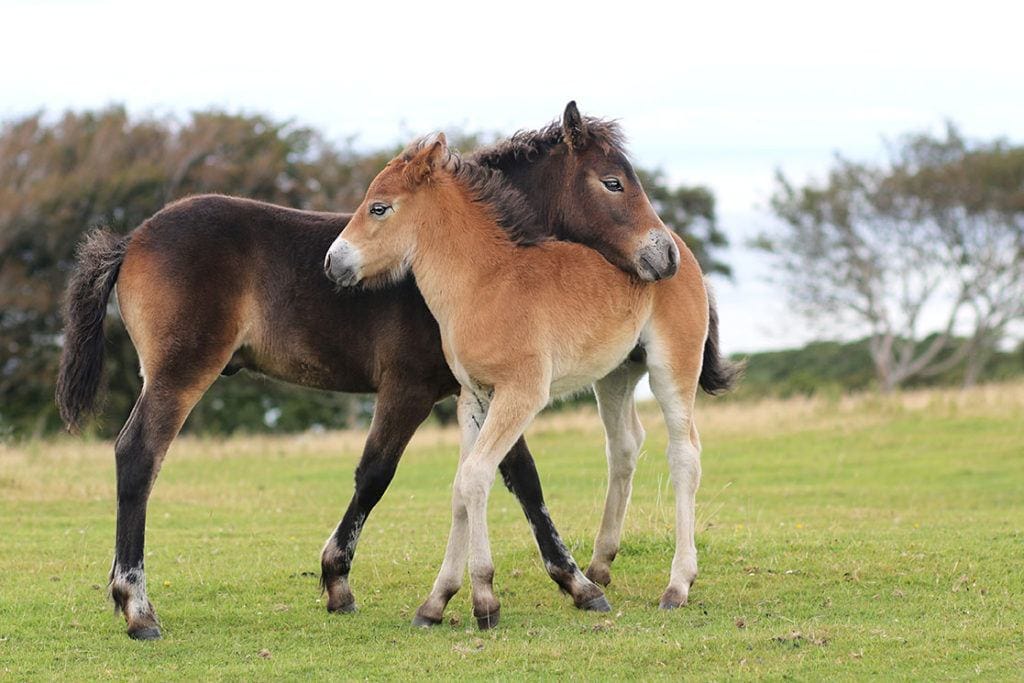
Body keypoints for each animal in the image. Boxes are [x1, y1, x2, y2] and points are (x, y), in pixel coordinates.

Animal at [54, 102, 737, 643]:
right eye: (613, 181)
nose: (667, 256)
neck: (479, 268)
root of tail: (132, 239)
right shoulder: (414, 388)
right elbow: (382, 474)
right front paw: (339, 581)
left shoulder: (480, 390)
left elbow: (514, 478)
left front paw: (571, 583)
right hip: (178, 374)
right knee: (138, 457)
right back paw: (138, 608)